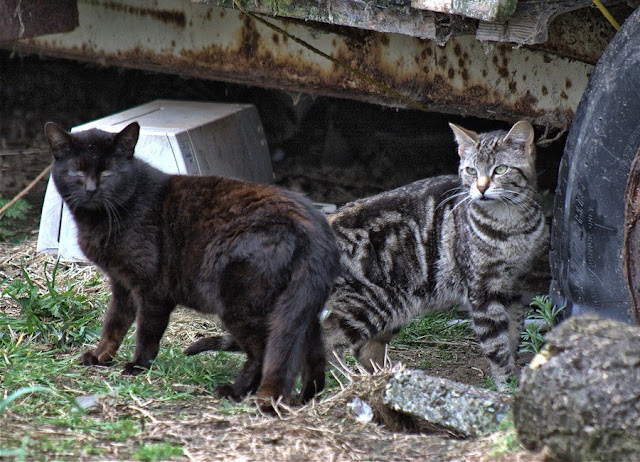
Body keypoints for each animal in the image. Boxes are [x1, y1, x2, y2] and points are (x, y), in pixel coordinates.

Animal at [45, 121, 340, 402]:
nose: (91, 189)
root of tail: (314, 228)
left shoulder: (151, 290)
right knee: (312, 354)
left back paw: (235, 391)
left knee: (263, 351)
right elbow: (114, 324)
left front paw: (137, 366)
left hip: (243, 305)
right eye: (77, 172)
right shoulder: (122, 284)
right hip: (300, 305)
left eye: (107, 173)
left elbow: (146, 333)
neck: (101, 218)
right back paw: (305, 399)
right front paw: (100, 357)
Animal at [186, 121, 552, 388]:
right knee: (330, 340)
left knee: (366, 348)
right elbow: (496, 346)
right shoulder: (483, 293)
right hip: (368, 303)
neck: (510, 226)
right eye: (470, 170)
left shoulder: (515, 288)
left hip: (396, 305)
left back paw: (385, 377)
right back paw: (348, 381)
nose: (481, 188)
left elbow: (513, 336)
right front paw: (506, 387)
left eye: (500, 170)